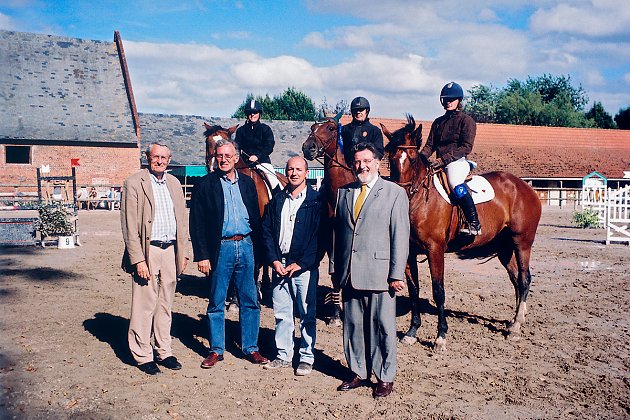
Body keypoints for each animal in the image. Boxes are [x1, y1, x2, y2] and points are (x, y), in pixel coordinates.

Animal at [205, 123, 288, 300]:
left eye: (227, 142)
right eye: (208, 142)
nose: (215, 166)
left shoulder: (257, 229)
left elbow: (254, 261)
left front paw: (247, 292)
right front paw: (232, 294)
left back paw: (265, 286)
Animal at [302, 115, 356, 324]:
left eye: (331, 128)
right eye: (313, 127)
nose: (308, 147)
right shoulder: (329, 241)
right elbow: (334, 275)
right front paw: (335, 315)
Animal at [382, 114, 544, 352]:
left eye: (411, 159)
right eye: (390, 159)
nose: (399, 198)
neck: (419, 199)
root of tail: (524, 186)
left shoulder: (435, 250)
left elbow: (438, 291)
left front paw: (440, 337)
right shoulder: (409, 252)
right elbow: (413, 289)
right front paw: (411, 333)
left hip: (522, 243)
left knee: (524, 279)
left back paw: (515, 328)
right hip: (504, 248)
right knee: (516, 279)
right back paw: (516, 320)